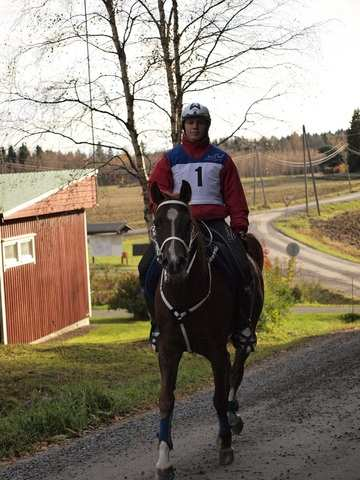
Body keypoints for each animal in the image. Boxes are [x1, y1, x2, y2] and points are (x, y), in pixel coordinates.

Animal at [149, 180, 264, 480]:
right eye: (157, 222)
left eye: (188, 222)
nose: (173, 262)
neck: (184, 293)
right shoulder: (168, 351)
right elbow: (166, 400)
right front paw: (163, 460)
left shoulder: (216, 352)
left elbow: (219, 398)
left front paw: (225, 444)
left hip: (246, 331)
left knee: (237, 372)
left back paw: (233, 419)